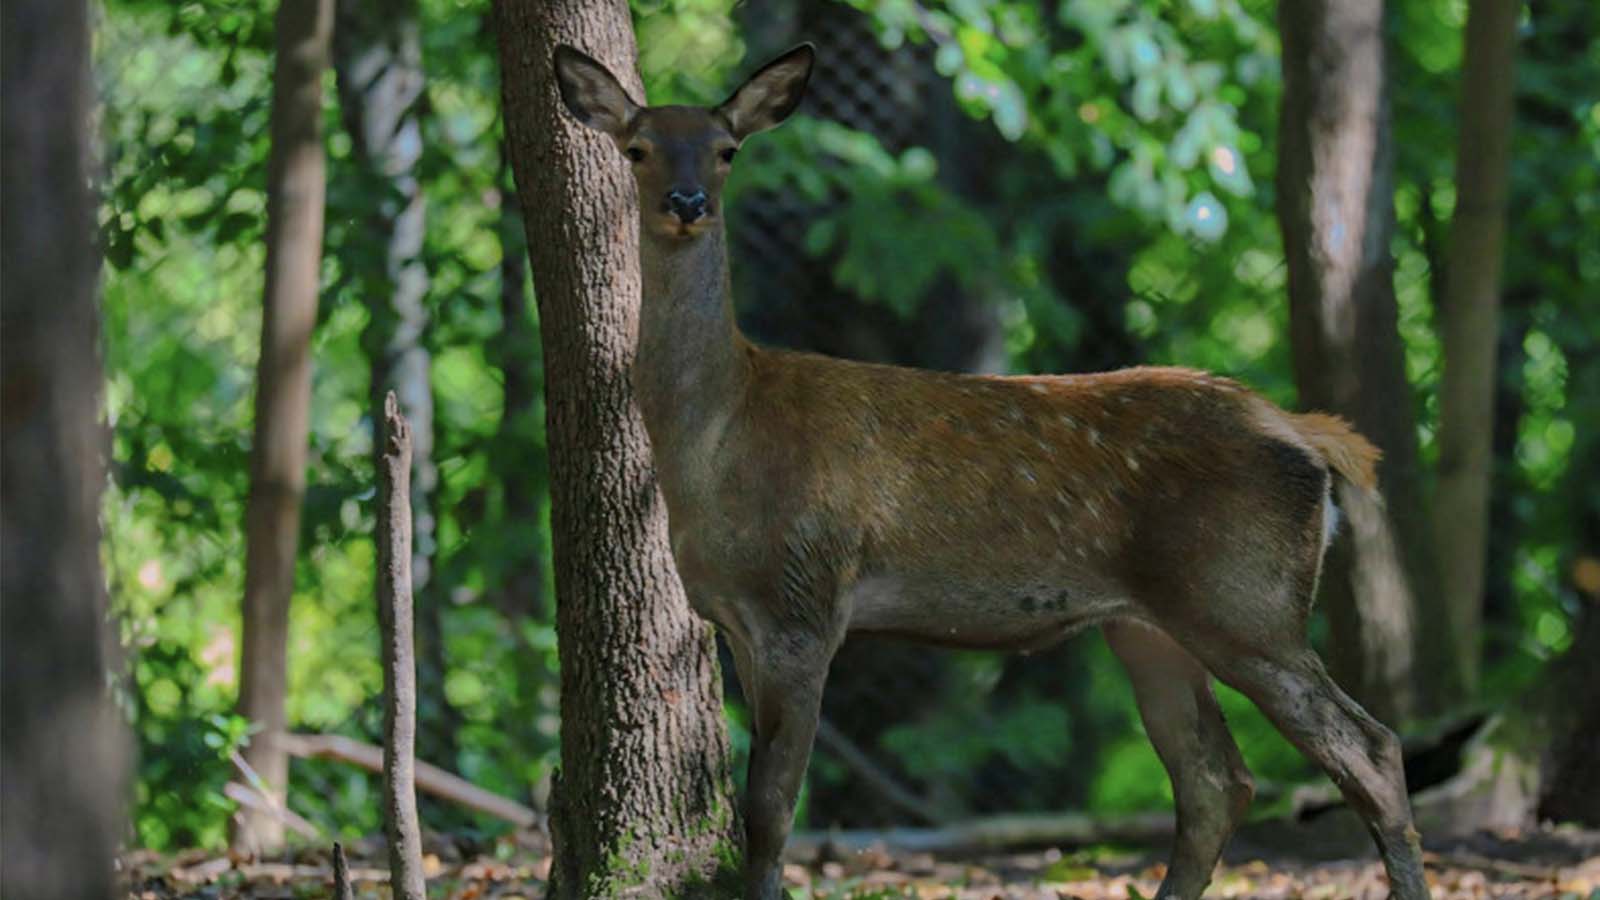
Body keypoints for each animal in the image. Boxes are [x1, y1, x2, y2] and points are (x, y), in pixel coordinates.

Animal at [556, 40, 1433, 896]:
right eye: (638, 147)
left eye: (727, 149)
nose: (688, 202)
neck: (718, 436)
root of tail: (1309, 438)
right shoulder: (739, 618)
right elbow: (760, 808)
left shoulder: (805, 599)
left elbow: (771, 814)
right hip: (1150, 625)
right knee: (1216, 780)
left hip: (1245, 598)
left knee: (1369, 749)